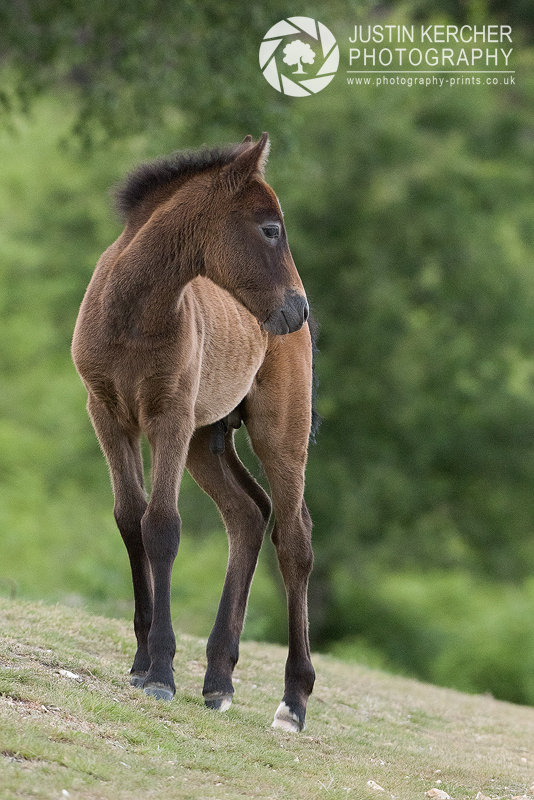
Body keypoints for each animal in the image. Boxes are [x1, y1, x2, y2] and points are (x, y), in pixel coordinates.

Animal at [70, 133, 314, 732]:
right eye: (269, 228)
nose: (297, 308)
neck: (133, 314)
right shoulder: (107, 415)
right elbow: (130, 520)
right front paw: (141, 664)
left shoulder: (170, 418)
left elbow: (162, 525)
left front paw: (161, 672)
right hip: (207, 439)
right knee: (248, 514)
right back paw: (218, 681)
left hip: (278, 432)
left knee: (295, 537)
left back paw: (293, 703)